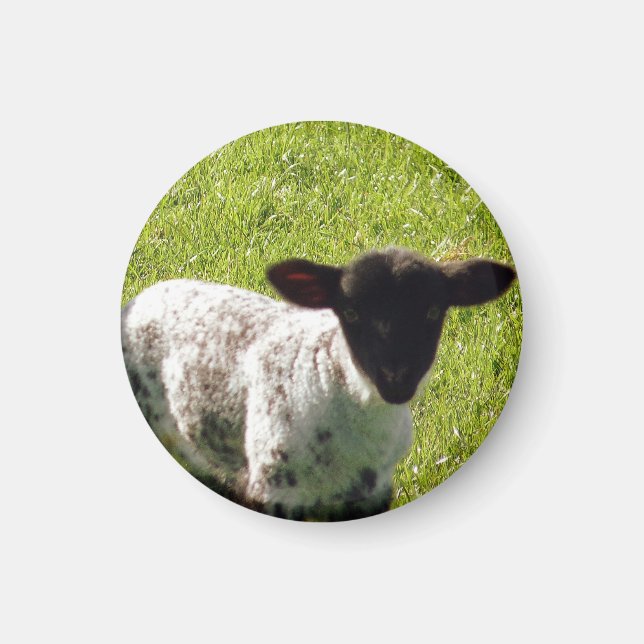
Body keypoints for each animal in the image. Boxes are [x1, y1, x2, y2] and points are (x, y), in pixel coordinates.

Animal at [121, 247, 517, 521]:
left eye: (433, 311)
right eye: (351, 312)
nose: (396, 377)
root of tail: (143, 296)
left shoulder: (373, 493)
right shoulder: (271, 488)